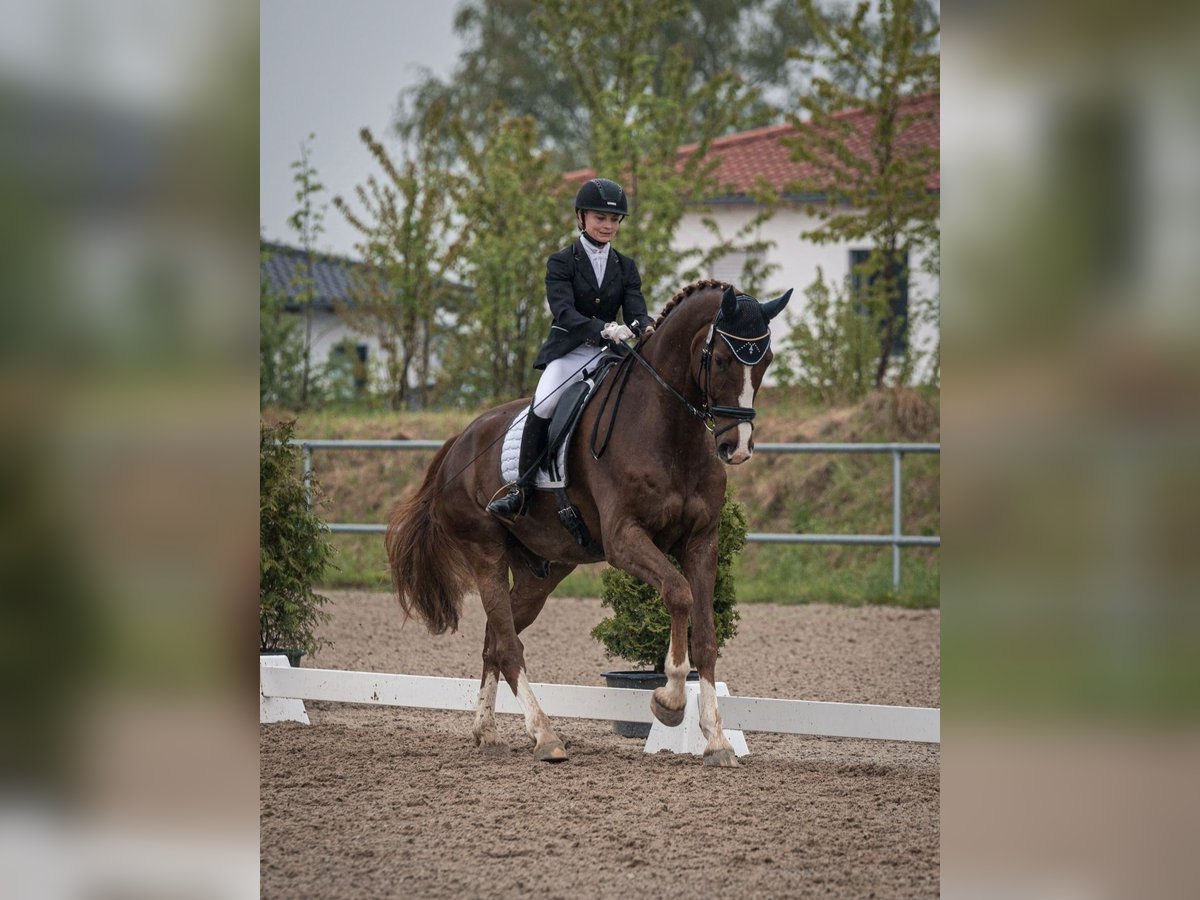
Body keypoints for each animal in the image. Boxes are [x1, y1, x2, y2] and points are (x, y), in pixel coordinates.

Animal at [384, 280, 792, 768]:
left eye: (766, 361)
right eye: (723, 360)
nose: (737, 447)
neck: (670, 430)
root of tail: (457, 444)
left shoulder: (701, 542)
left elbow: (707, 636)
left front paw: (716, 740)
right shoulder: (624, 539)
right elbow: (678, 593)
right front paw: (669, 701)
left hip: (542, 572)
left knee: (493, 640)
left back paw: (488, 733)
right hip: (485, 551)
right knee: (507, 646)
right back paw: (545, 736)